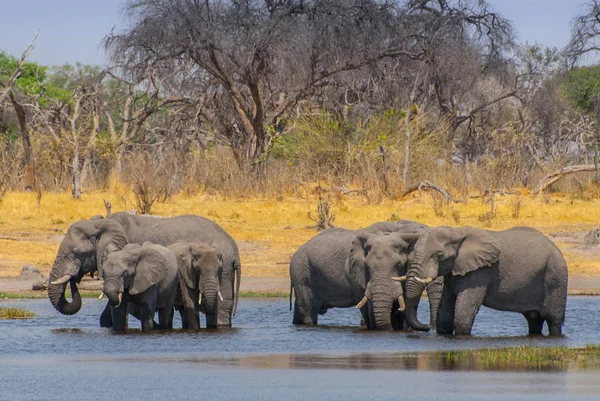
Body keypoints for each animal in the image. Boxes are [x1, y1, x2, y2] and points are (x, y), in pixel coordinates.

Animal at [290, 220, 440, 330]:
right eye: (367, 267)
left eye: (400, 265)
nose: (429, 327)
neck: (401, 226)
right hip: (302, 273)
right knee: (308, 312)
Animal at [400, 225, 568, 334]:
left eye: (439, 255)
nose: (427, 327)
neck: (457, 232)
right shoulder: (454, 271)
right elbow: (445, 311)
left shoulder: (481, 271)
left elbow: (463, 313)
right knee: (534, 320)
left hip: (555, 276)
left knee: (554, 320)